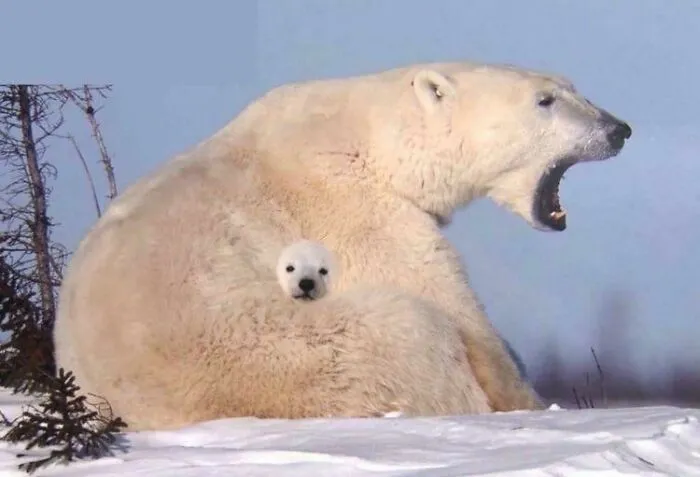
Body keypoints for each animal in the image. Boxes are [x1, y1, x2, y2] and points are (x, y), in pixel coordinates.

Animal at [53, 60, 631, 431]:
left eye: (572, 87)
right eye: (545, 100)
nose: (618, 128)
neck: (374, 139)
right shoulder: (353, 208)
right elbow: (452, 307)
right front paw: (533, 404)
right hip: (295, 356)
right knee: (413, 329)